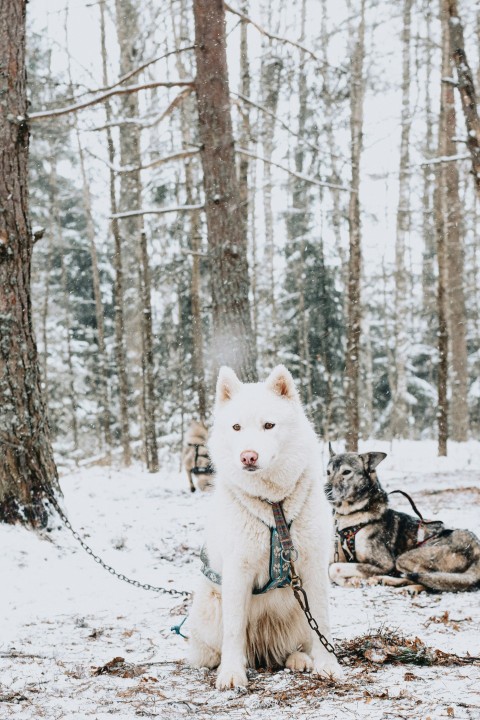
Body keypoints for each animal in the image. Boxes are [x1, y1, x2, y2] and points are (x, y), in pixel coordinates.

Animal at [188, 368, 342, 688]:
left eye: (269, 425)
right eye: (236, 427)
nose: (248, 456)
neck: (274, 505)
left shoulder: (312, 568)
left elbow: (322, 622)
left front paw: (328, 666)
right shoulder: (237, 571)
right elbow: (234, 630)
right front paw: (232, 673)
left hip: (297, 606)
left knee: (298, 641)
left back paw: (299, 659)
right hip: (211, 607)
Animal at [324, 448, 480, 592]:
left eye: (346, 472)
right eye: (328, 472)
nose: (326, 490)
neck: (351, 517)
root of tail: (476, 547)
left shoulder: (384, 564)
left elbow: (334, 568)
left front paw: (350, 581)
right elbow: (329, 566)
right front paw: (351, 580)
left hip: (406, 558)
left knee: (427, 581)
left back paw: (400, 585)